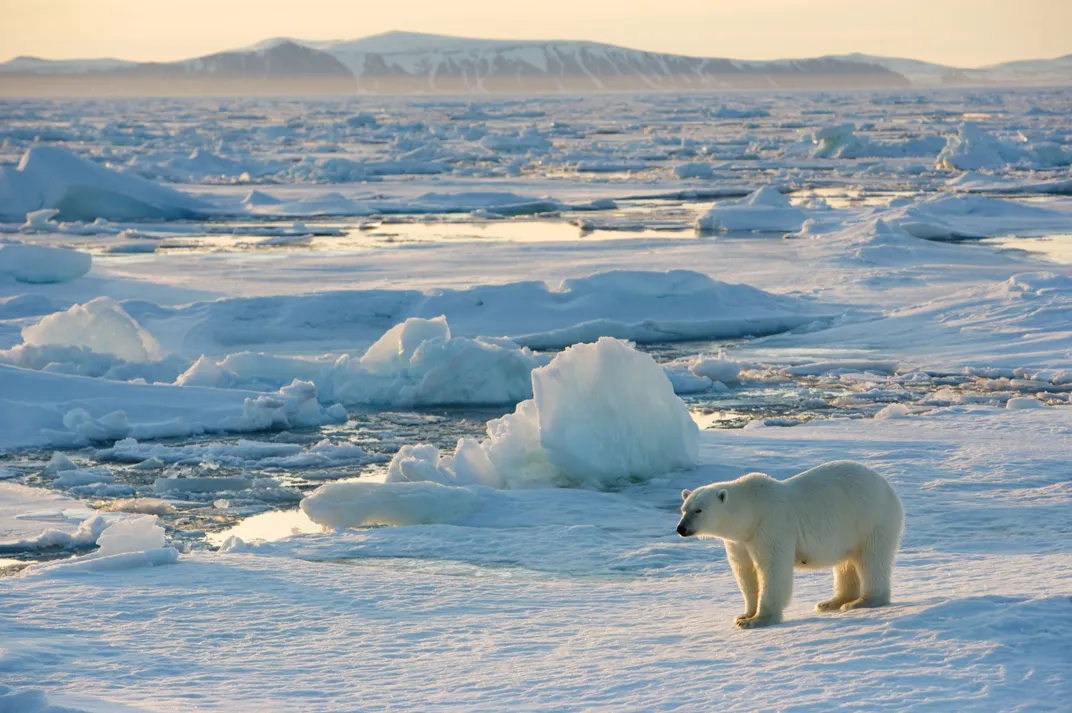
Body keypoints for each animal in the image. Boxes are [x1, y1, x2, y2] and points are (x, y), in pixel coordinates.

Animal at [681, 458, 900, 626]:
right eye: (684, 509)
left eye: (699, 510)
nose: (681, 528)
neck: (751, 511)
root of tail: (888, 487)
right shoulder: (740, 541)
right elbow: (744, 571)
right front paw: (745, 614)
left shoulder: (771, 525)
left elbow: (773, 569)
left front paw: (758, 620)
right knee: (846, 563)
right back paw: (831, 602)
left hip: (871, 519)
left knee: (872, 558)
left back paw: (863, 601)